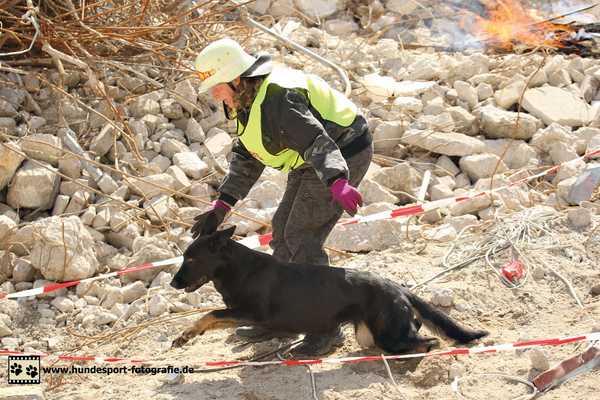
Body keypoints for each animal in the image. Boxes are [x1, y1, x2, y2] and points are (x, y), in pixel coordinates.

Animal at [169, 227, 488, 354]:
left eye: (191, 259)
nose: (172, 283)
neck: (237, 268)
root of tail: (396, 286)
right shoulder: (240, 312)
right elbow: (211, 318)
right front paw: (187, 335)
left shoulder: (251, 312)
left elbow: (211, 313)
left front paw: (186, 333)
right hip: (368, 335)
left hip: (388, 335)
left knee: (426, 341)